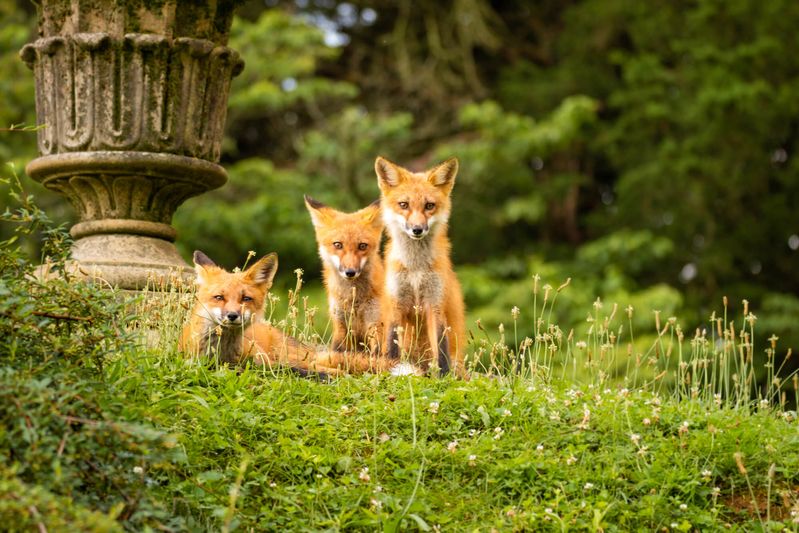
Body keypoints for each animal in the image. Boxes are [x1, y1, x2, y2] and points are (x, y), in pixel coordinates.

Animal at [179, 250, 345, 376]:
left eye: (246, 298)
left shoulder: (264, 361)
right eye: (219, 297)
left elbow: (285, 369)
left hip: (288, 356)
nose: (232, 315)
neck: (224, 354)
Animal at [304, 195, 384, 354]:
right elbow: (337, 352)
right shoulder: (340, 324)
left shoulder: (376, 324)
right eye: (338, 245)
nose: (350, 272)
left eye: (362, 246)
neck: (354, 299)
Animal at [375, 156, 467, 377]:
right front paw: (393, 369)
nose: (417, 229)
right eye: (404, 204)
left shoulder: (435, 303)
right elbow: (392, 346)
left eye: (429, 205)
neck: (415, 269)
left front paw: (443, 377)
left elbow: (441, 350)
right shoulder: (396, 303)